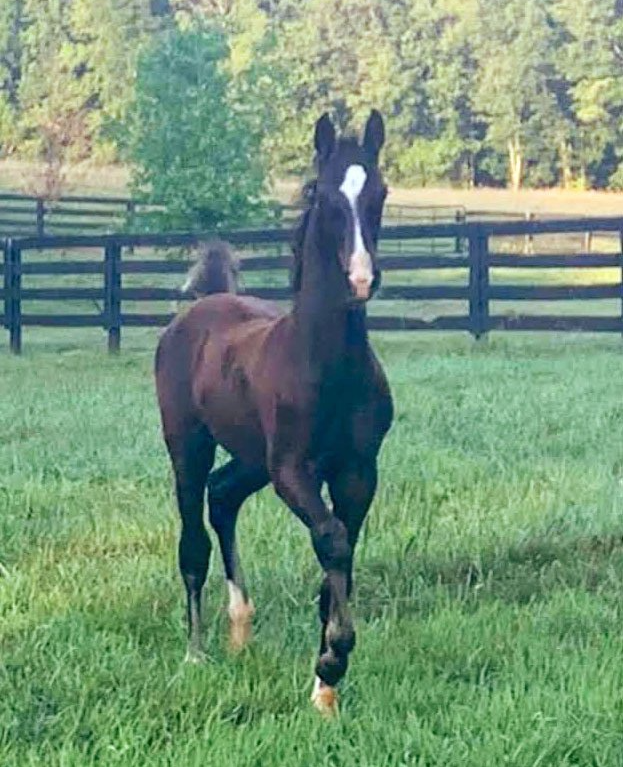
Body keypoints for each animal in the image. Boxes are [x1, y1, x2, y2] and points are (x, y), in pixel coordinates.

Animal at [155, 110, 393, 715]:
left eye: (380, 192)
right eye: (323, 196)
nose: (362, 278)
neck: (324, 361)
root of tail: (202, 307)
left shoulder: (358, 471)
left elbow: (340, 555)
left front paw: (325, 688)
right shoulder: (292, 470)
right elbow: (331, 539)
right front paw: (335, 656)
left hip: (251, 458)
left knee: (223, 495)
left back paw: (241, 629)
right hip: (188, 444)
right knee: (193, 538)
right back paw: (196, 653)